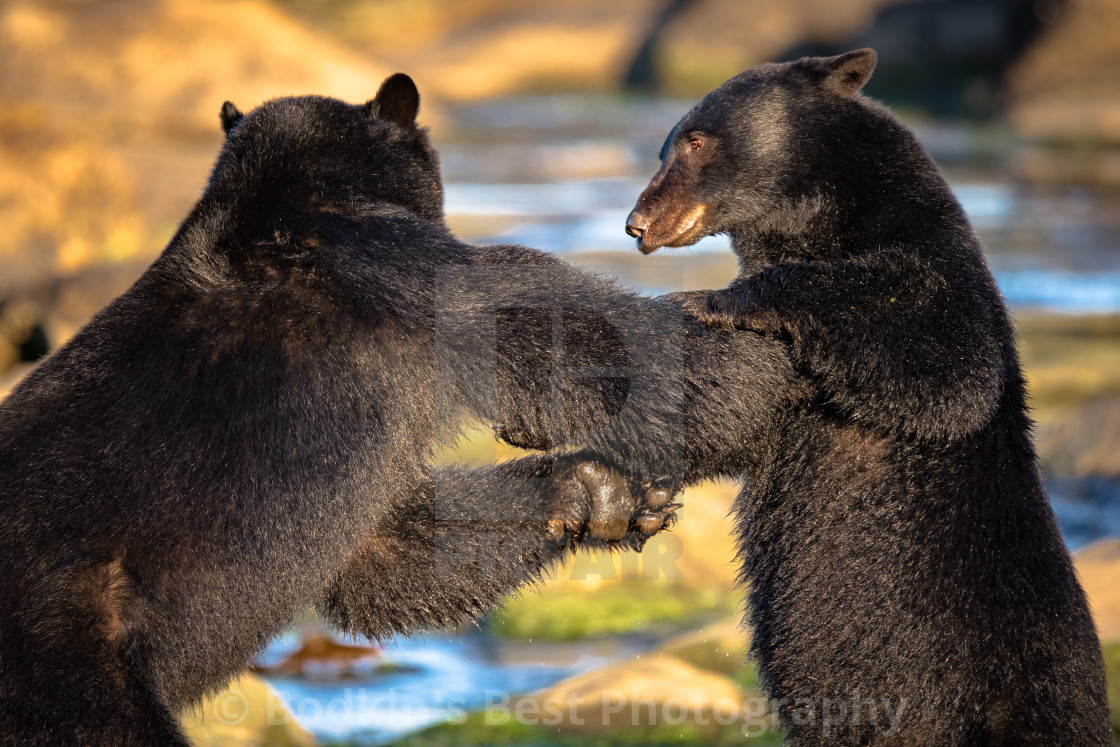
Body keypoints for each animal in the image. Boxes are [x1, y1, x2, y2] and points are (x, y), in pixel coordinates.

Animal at [0, 72, 797, 743]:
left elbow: (388, 545)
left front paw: (607, 493)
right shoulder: (401, 272)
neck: (295, 194)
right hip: (74, 664)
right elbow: (574, 334)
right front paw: (767, 370)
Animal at [622, 49, 1111, 743]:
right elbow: (731, 417)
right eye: (669, 144)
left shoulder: (943, 278)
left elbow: (944, 356)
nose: (636, 222)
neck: (827, 220)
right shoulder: (791, 393)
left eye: (694, 140)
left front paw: (705, 297)